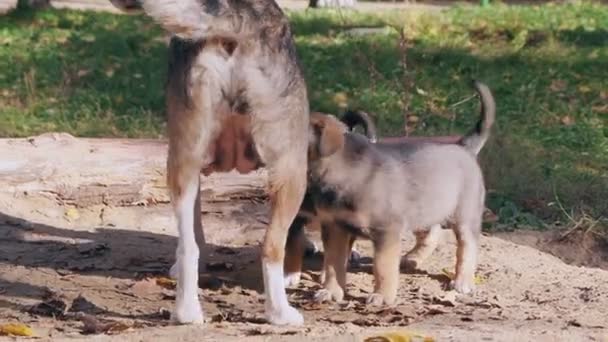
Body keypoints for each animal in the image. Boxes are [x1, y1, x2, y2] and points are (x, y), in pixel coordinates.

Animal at [111, 0, 314, 324]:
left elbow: (196, 234)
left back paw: (186, 313)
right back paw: (281, 315)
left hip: (182, 159)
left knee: (187, 246)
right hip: (292, 171)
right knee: (271, 247)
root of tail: (239, 18)